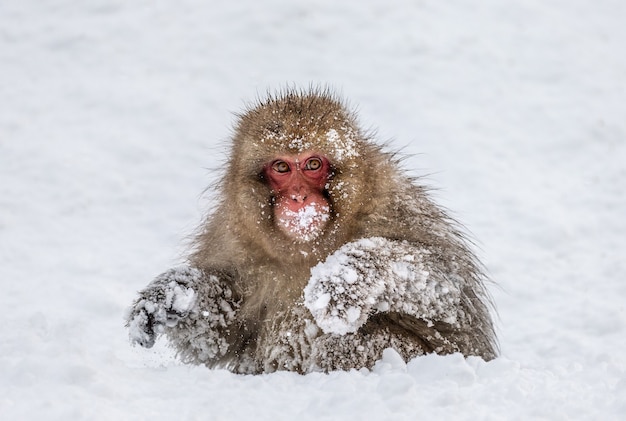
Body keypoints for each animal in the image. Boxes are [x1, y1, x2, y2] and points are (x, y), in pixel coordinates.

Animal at [125, 87, 498, 372]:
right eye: (281, 167)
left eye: (313, 164)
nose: (299, 197)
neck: (307, 251)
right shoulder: (230, 236)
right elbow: (221, 336)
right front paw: (172, 297)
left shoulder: (396, 205)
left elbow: (450, 298)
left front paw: (345, 279)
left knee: (353, 341)